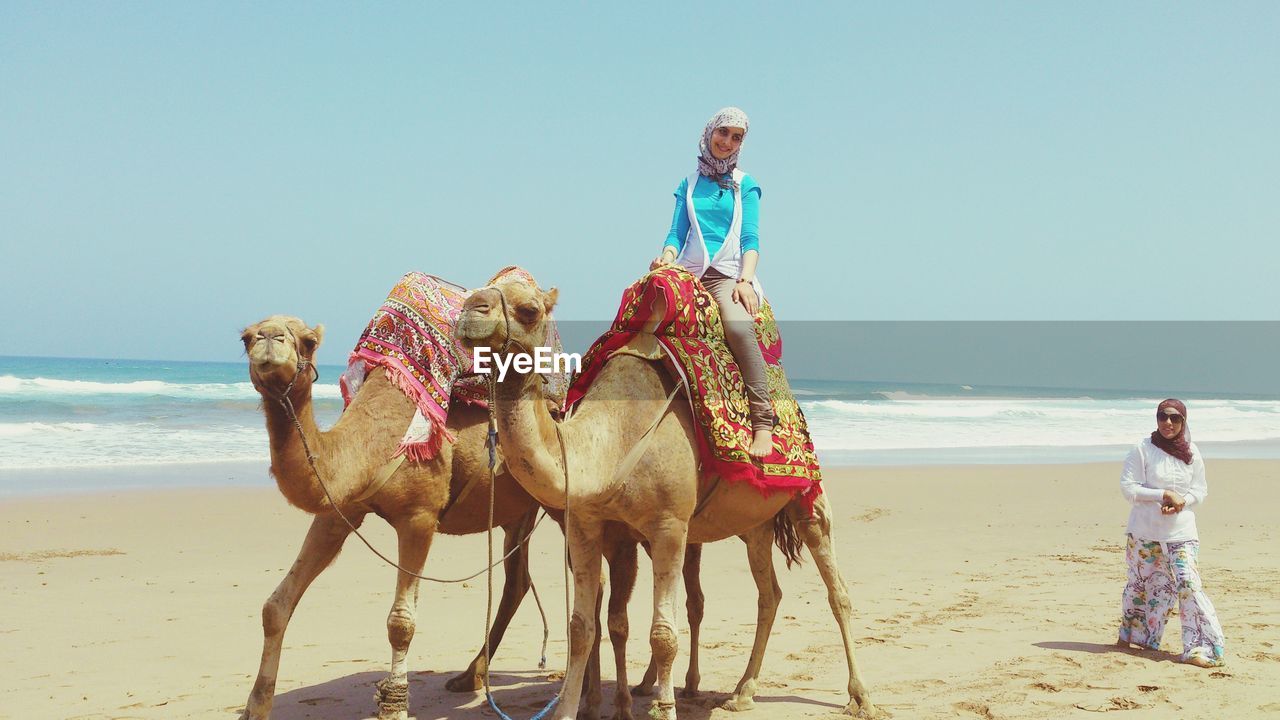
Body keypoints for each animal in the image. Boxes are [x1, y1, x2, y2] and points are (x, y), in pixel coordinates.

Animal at [235, 315, 545, 717]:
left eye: (308, 341)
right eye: (245, 337)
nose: (269, 337)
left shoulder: (419, 516)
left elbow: (401, 622)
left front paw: (394, 706)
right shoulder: (340, 511)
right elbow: (276, 605)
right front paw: (256, 706)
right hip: (521, 510)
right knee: (517, 582)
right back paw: (468, 677)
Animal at [458, 280, 880, 717]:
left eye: (528, 309)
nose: (471, 309)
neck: (609, 441)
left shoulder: (670, 526)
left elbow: (662, 634)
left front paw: (663, 706)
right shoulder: (585, 525)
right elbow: (581, 627)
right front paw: (570, 709)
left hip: (806, 497)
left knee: (836, 589)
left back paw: (861, 696)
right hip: (756, 523)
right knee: (769, 594)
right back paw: (743, 690)